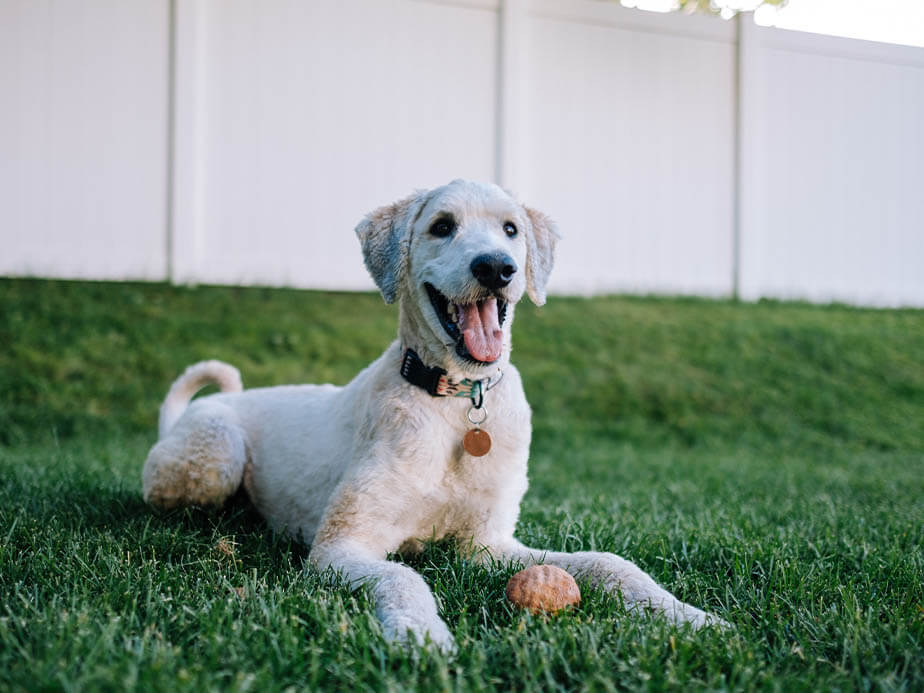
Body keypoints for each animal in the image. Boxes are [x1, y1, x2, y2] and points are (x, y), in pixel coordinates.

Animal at [143, 177, 720, 648]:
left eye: (511, 229)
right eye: (442, 226)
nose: (496, 267)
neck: (456, 401)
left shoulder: (487, 545)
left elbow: (609, 562)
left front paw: (689, 616)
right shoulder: (342, 546)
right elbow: (405, 575)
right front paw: (421, 636)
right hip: (213, 457)